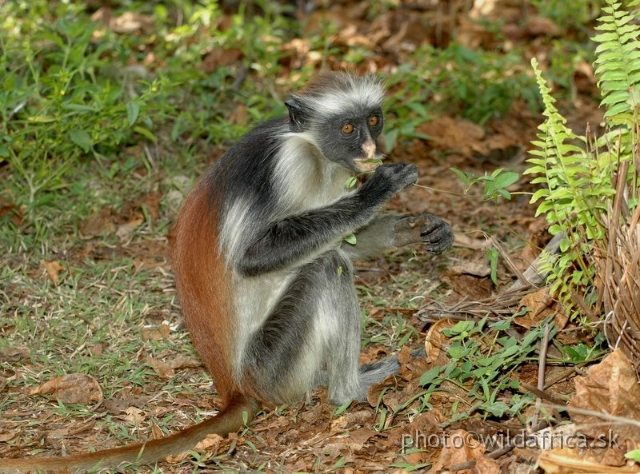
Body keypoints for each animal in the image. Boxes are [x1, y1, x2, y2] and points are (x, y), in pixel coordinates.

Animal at [5, 72, 456, 472]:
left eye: (373, 120)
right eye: (348, 127)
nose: (369, 144)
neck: (311, 147)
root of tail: (233, 384)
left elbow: (345, 237)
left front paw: (417, 228)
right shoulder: (287, 165)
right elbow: (252, 258)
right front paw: (378, 190)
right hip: (270, 366)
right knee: (327, 267)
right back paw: (350, 389)